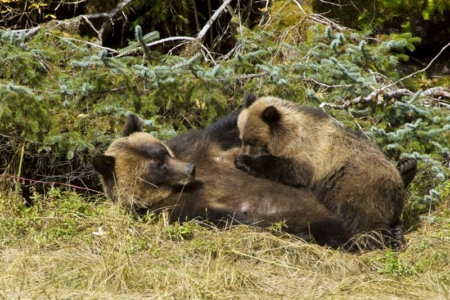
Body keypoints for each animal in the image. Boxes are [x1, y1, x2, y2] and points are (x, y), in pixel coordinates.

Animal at [92, 113, 352, 250]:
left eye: (163, 152)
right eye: (156, 168)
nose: (191, 169)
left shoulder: (201, 147)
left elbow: (226, 130)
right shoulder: (169, 209)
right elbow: (211, 215)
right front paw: (246, 220)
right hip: (309, 217)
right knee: (331, 231)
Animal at [236, 94, 412, 248]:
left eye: (252, 141)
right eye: (242, 138)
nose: (239, 154)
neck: (290, 136)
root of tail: (397, 186)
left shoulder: (309, 157)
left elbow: (286, 169)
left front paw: (244, 161)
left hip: (359, 191)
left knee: (365, 224)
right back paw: (397, 235)